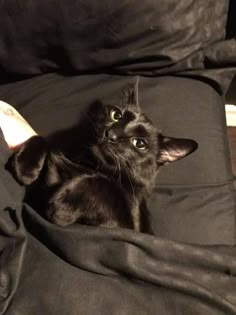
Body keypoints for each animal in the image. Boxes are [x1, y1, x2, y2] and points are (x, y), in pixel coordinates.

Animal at [8, 84, 197, 235]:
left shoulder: (124, 227)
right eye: (116, 115)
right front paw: (25, 168)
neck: (89, 164)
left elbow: (100, 184)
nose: (110, 134)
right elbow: (40, 139)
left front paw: (61, 207)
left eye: (140, 143)